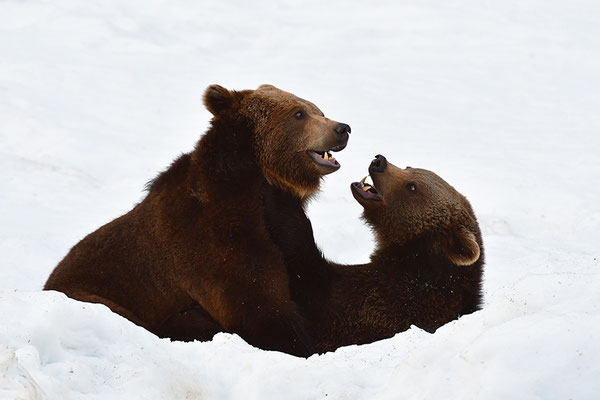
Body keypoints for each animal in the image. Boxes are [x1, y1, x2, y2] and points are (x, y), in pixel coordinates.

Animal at [45, 84, 352, 356]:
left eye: (318, 110)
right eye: (299, 114)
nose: (342, 128)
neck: (253, 186)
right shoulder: (210, 239)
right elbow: (257, 305)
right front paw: (299, 344)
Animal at [264, 154, 486, 354]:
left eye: (412, 187)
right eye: (409, 167)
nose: (379, 161)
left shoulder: (380, 303)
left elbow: (311, 277)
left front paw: (281, 195)